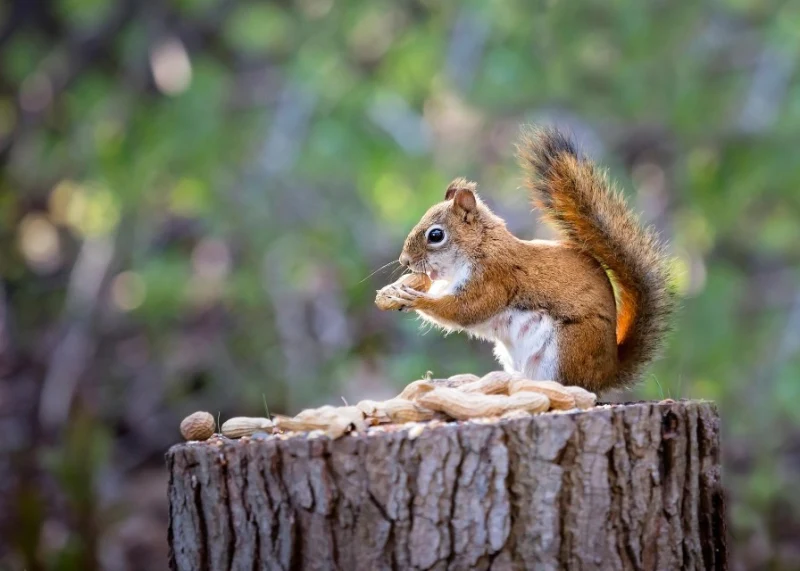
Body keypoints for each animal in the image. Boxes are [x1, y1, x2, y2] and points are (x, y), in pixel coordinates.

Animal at [381, 126, 675, 392]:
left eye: (436, 235)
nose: (404, 261)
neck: (479, 246)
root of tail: (606, 373)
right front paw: (397, 290)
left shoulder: (494, 277)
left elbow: (466, 309)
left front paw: (415, 299)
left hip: (567, 348)